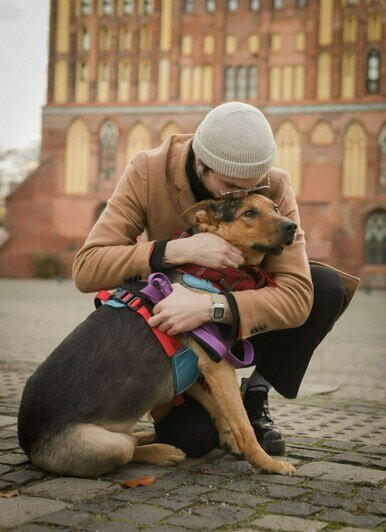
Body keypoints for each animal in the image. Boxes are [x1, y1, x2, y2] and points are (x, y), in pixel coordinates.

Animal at [17, 194, 296, 478]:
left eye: (275, 208)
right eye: (249, 213)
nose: (292, 226)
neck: (205, 273)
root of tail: (28, 445)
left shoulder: (196, 368)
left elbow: (217, 406)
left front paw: (230, 439)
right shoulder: (217, 364)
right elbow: (242, 422)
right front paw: (266, 463)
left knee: (131, 439)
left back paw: (148, 437)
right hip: (108, 445)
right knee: (128, 449)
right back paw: (161, 451)